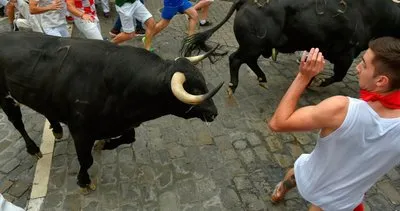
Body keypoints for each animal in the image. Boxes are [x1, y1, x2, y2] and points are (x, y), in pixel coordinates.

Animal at [0, 31, 222, 193]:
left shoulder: (122, 123)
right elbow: (86, 159)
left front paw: (103, 144)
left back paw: (56, 128)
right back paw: (33, 149)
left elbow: (129, 137)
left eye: (203, 82)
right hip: (5, 97)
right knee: (17, 121)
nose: (214, 113)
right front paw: (84, 181)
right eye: (195, 90)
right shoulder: (81, 130)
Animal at [180, 0, 400, 94]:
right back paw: (234, 84)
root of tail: (247, 1)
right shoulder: (345, 54)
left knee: (248, 61)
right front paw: (318, 82)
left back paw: (262, 78)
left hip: (256, 46)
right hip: (253, 45)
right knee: (236, 59)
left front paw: (309, 81)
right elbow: (338, 75)